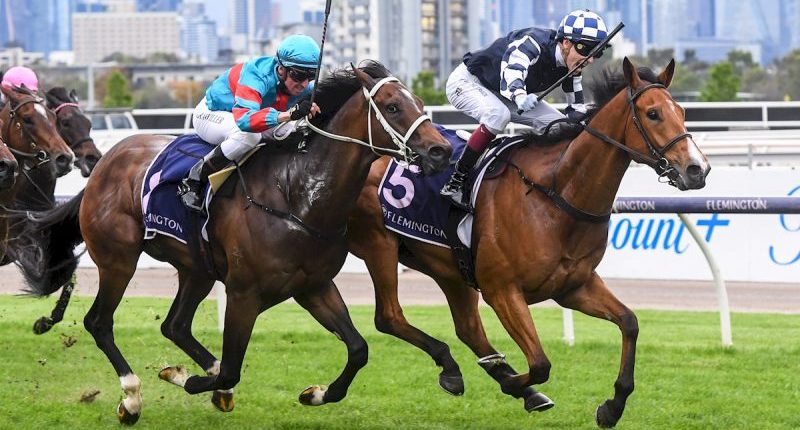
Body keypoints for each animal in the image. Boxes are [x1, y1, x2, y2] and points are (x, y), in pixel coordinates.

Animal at [15, 61, 452, 425]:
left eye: (417, 102)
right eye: (393, 106)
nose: (442, 150)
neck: (297, 195)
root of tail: (104, 163)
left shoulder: (313, 286)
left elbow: (359, 349)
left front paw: (315, 393)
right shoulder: (244, 293)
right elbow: (231, 368)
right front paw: (185, 379)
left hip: (197, 268)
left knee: (175, 325)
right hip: (118, 258)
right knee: (99, 322)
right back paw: (133, 397)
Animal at [345, 58, 710, 428]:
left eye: (681, 111)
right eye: (653, 113)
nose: (698, 169)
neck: (556, 193)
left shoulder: (574, 287)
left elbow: (630, 323)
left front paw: (612, 405)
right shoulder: (502, 290)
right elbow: (540, 363)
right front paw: (512, 383)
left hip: (448, 268)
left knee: (467, 328)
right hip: (379, 246)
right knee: (389, 317)